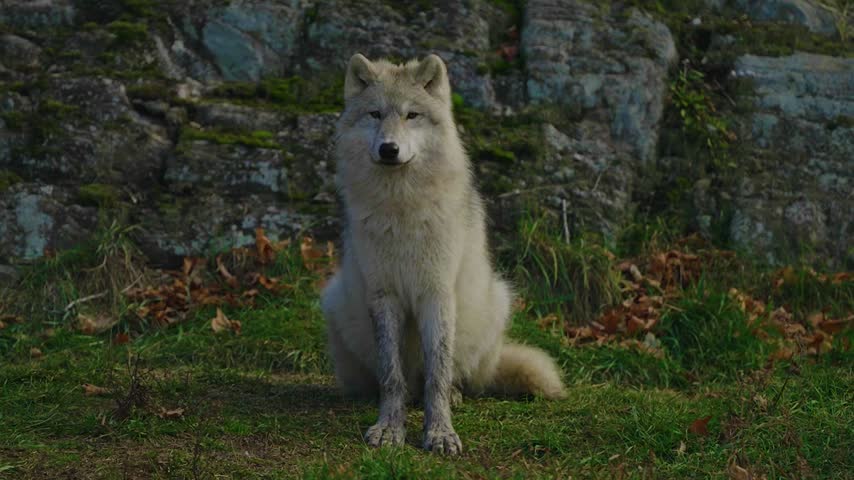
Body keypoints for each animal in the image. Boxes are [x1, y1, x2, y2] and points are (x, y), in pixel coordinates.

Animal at [320, 53, 566, 455]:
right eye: (375, 114)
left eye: (412, 115)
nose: (388, 149)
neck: (401, 209)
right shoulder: (384, 295)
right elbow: (391, 375)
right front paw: (389, 428)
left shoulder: (436, 294)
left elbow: (437, 374)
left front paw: (440, 433)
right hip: (334, 300)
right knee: (393, 381)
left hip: (494, 302)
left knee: (452, 377)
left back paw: (454, 394)